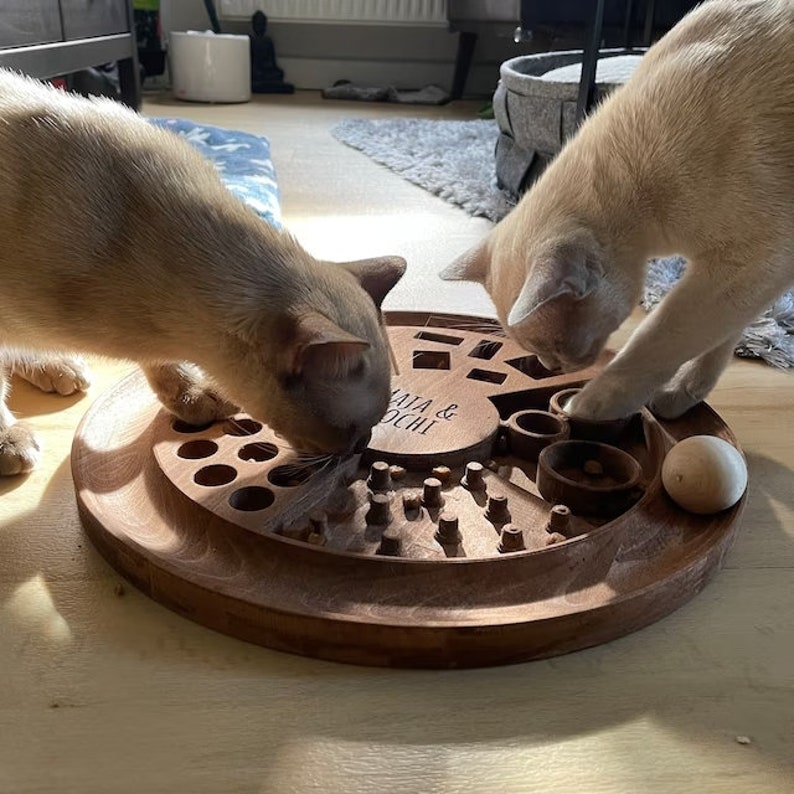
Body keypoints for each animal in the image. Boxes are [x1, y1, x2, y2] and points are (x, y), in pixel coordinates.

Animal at [0, 68, 406, 474]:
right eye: (350, 429)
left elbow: (166, 366)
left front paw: (193, 396)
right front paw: (7, 442)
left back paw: (61, 366)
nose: (361, 447)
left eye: (372, 426)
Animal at [442, 0, 788, 420]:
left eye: (556, 346)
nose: (550, 367)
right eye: (541, 352)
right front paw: (683, 391)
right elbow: (723, 336)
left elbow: (658, 339)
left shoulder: (749, 265)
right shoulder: (753, 276)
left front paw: (587, 406)